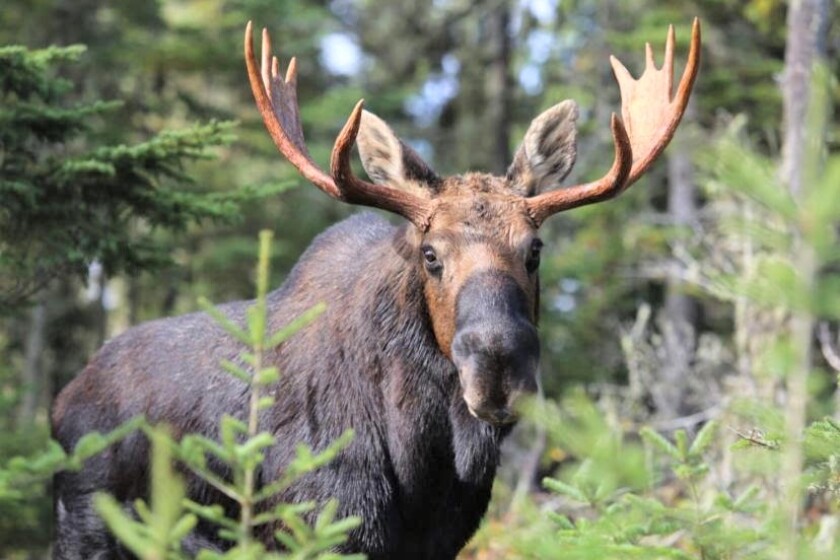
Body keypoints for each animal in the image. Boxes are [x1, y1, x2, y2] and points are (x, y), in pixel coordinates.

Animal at [52, 19, 700, 559]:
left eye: (534, 250)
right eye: (431, 254)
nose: (498, 370)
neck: (426, 460)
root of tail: (61, 403)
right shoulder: (318, 525)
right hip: (88, 527)